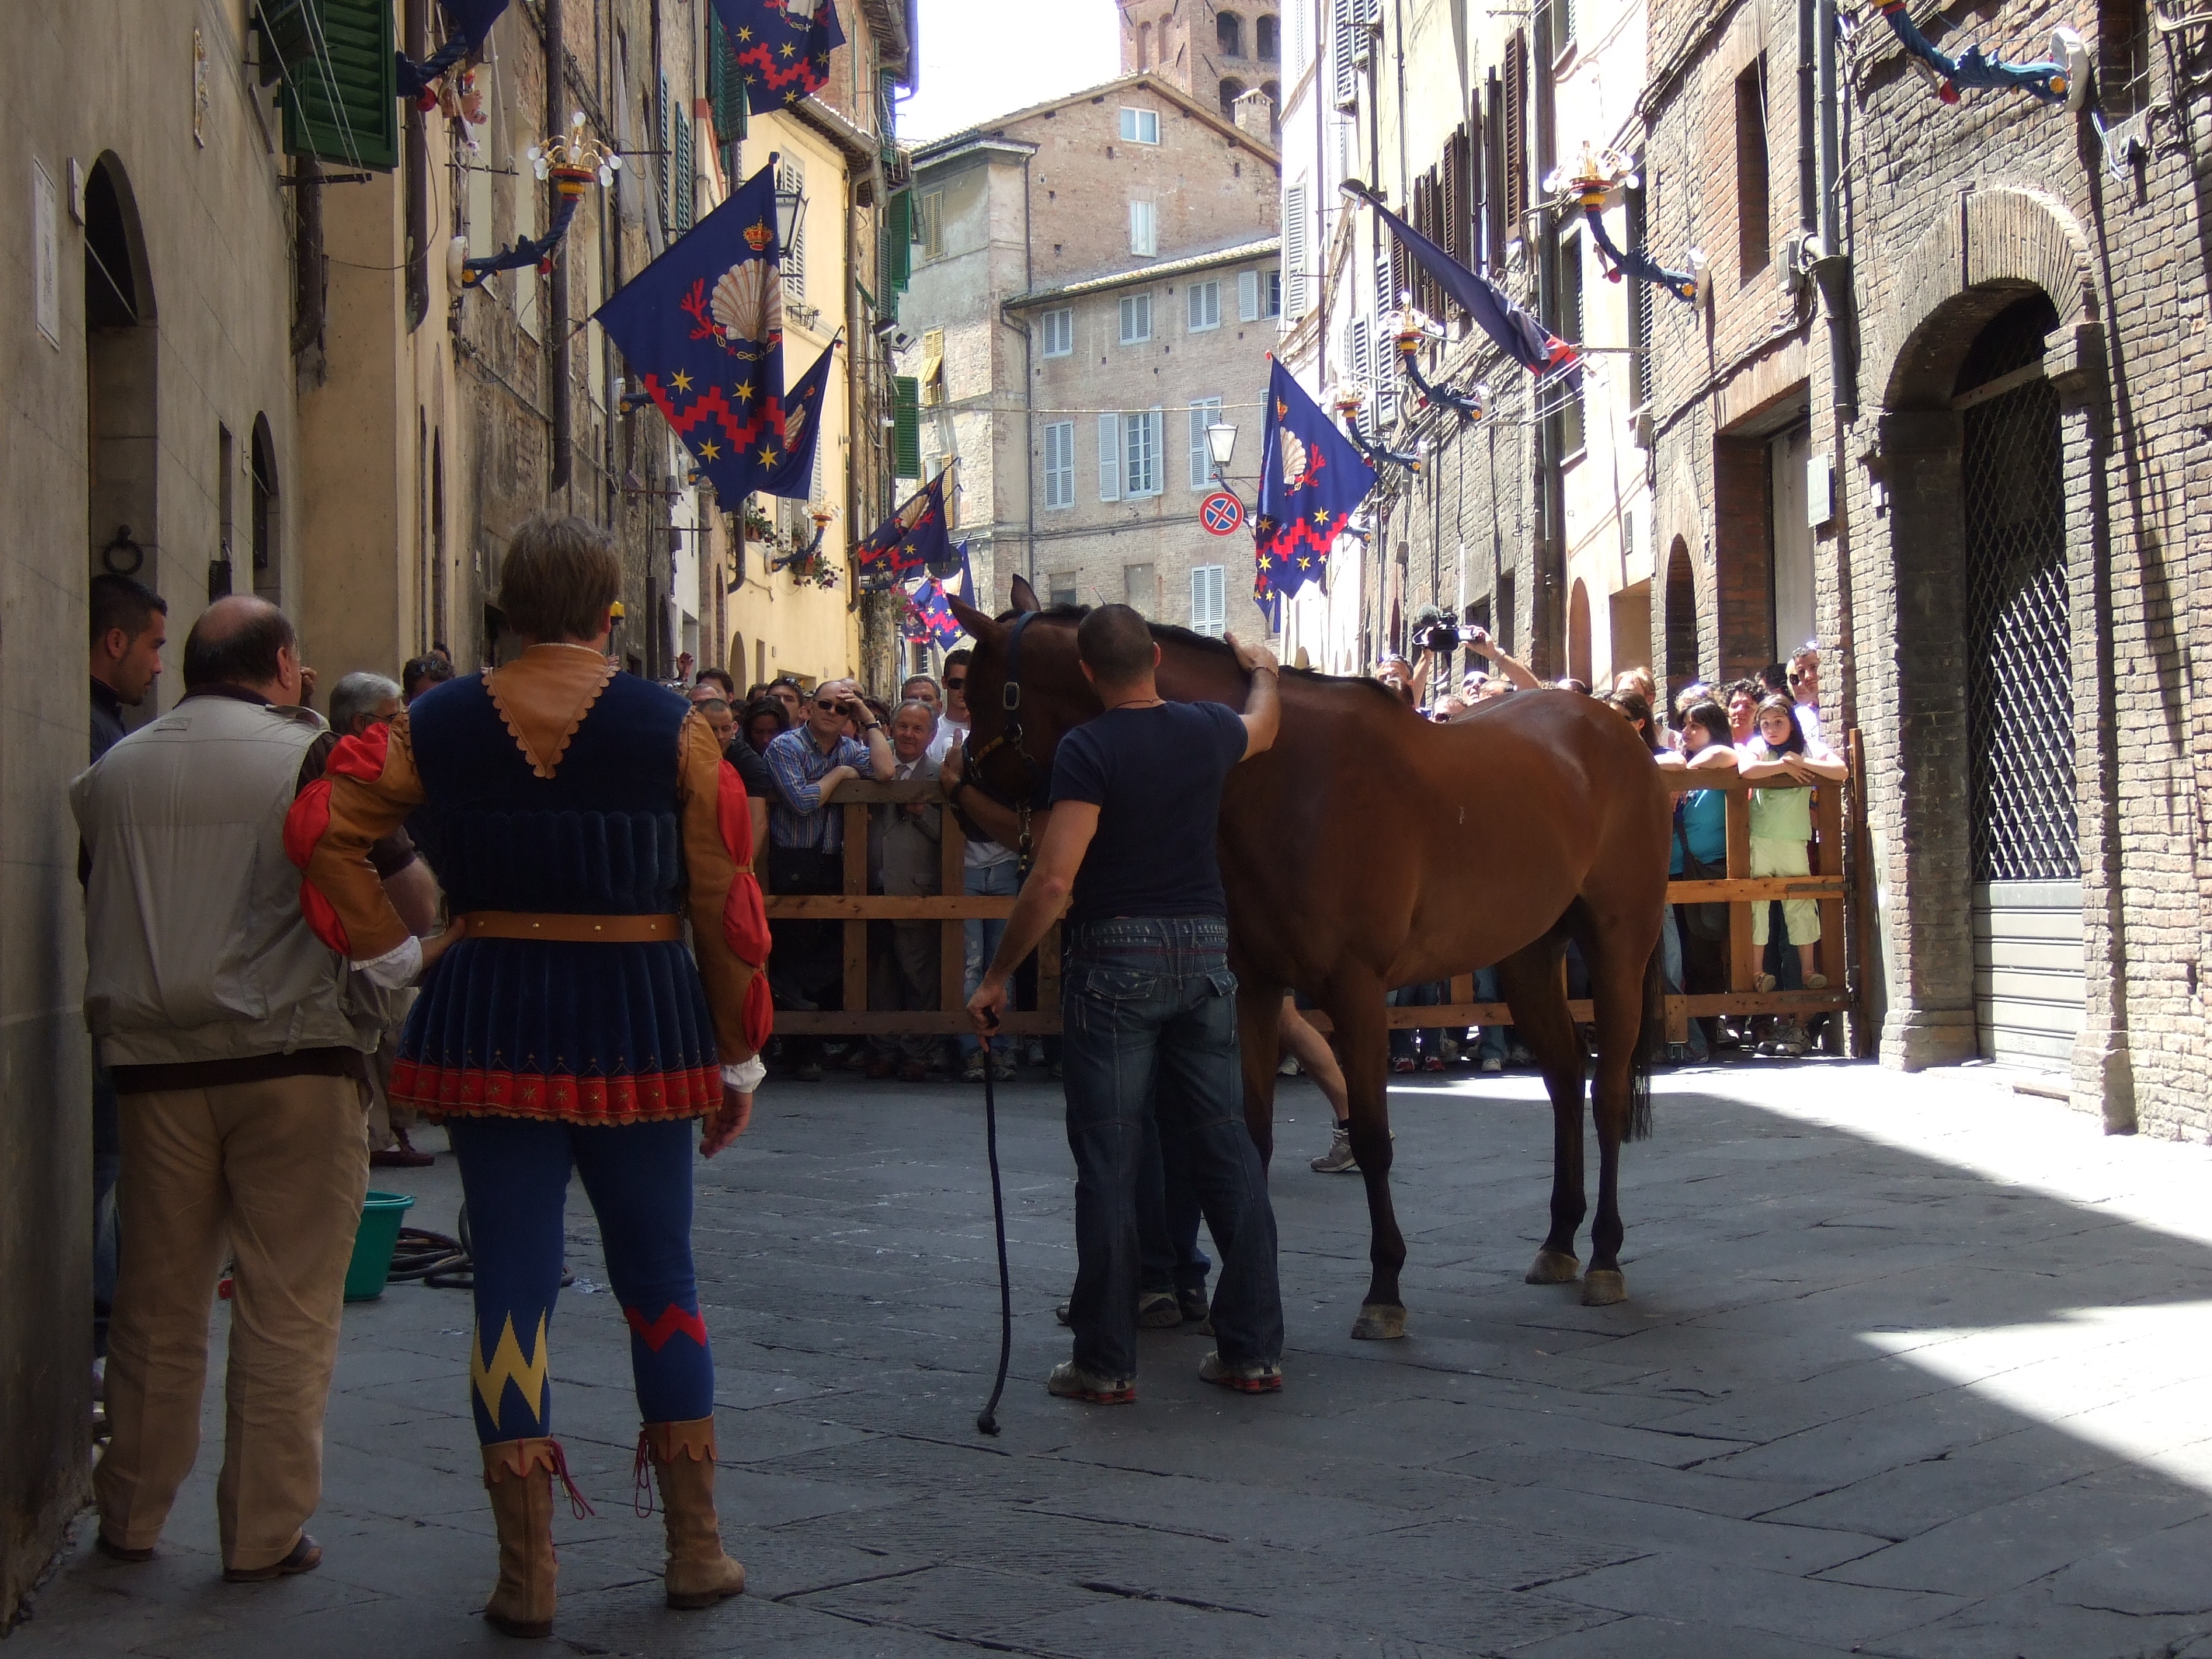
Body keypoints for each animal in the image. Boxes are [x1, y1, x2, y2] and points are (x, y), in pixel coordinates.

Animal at [946, 580, 1671, 1333]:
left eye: (970, 691)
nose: (959, 796)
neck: (1280, 775)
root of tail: (1615, 730)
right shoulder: (1257, 988)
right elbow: (1252, 1139)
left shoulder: (1356, 991)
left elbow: (1375, 1137)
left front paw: (1384, 1290)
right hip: (1528, 959)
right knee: (1565, 1077)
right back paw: (1559, 1241)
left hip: (1618, 949)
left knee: (1606, 1093)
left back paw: (1604, 1257)